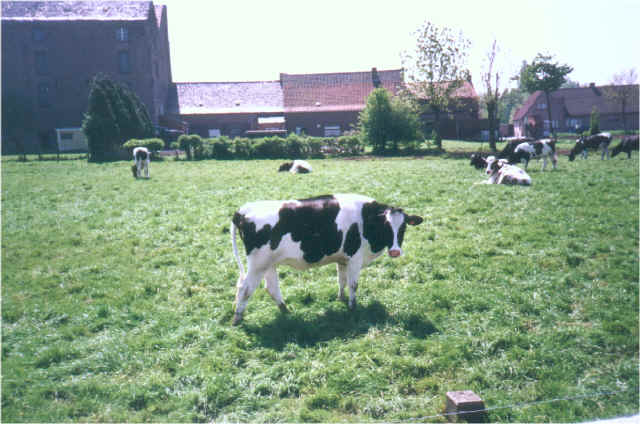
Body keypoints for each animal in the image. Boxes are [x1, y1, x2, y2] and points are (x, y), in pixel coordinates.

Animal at [230, 194, 424, 325]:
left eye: (403, 227)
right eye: (386, 226)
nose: (395, 251)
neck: (365, 220)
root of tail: (243, 210)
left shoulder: (343, 259)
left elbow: (341, 280)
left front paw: (341, 299)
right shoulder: (355, 257)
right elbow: (353, 284)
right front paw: (353, 308)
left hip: (268, 264)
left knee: (271, 288)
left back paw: (286, 311)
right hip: (257, 264)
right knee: (245, 289)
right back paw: (237, 319)